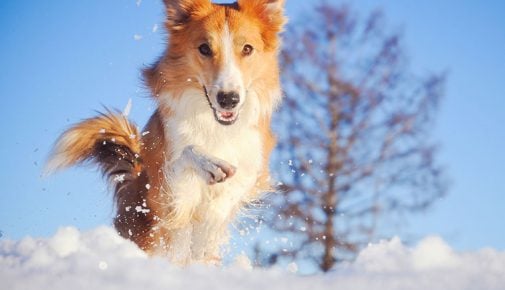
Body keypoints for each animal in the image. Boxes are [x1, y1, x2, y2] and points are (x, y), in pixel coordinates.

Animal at [47, 0, 286, 264]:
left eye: (247, 49)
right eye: (204, 48)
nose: (228, 99)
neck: (216, 127)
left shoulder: (251, 167)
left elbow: (222, 206)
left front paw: (209, 225)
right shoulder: (167, 190)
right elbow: (185, 155)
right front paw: (209, 164)